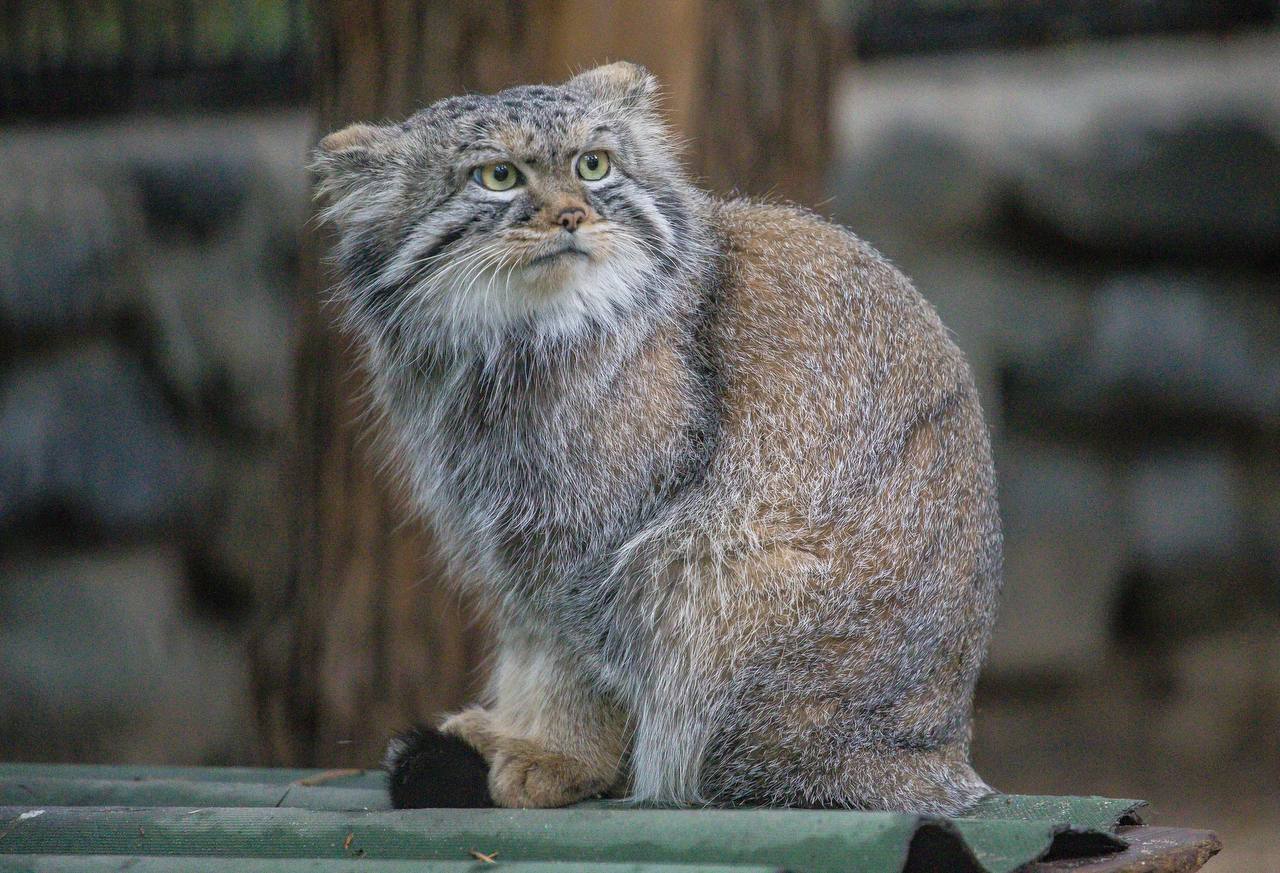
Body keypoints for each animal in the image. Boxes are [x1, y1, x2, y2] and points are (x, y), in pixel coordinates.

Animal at [309, 63, 998, 814]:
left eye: (593, 164)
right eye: (498, 176)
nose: (573, 215)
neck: (506, 346)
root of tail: (934, 755)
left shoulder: (599, 533)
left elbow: (579, 655)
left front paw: (558, 754)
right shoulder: (507, 531)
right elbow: (530, 632)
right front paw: (517, 731)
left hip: (707, 562)